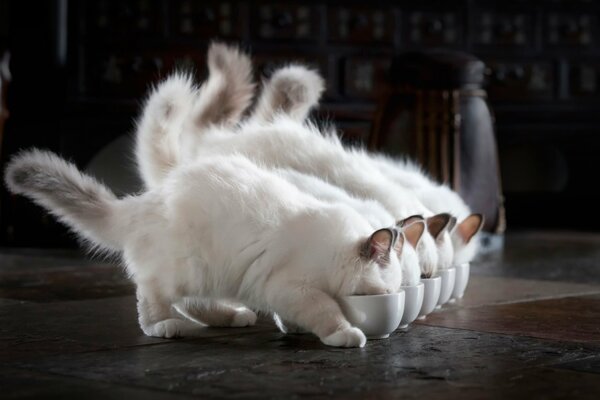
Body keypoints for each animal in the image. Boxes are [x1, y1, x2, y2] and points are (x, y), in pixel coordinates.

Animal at [4, 149, 408, 346]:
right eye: (385, 292)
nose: (394, 297)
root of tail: (144, 201)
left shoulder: (282, 291)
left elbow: (294, 314)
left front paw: (293, 328)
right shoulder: (295, 288)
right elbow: (326, 310)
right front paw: (345, 334)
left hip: (213, 274)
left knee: (192, 303)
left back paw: (234, 316)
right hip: (187, 269)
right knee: (152, 300)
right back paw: (166, 326)